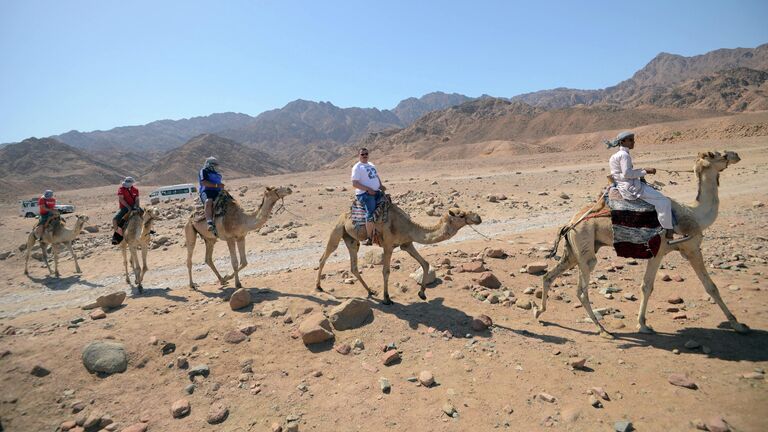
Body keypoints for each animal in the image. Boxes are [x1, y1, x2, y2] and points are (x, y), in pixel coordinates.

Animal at [316, 205, 484, 304]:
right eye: (461, 215)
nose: (478, 217)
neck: (408, 227)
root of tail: (343, 214)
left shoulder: (406, 244)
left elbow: (425, 264)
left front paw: (422, 293)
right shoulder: (388, 245)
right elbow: (386, 271)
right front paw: (387, 298)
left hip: (352, 239)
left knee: (354, 266)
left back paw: (370, 291)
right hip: (338, 229)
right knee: (324, 257)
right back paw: (318, 287)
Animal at [536, 151, 748, 338]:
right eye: (716, 154)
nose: (735, 155)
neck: (693, 215)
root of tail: (570, 223)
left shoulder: (686, 249)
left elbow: (702, 285)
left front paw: (642, 324)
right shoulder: (669, 250)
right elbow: (705, 287)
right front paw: (738, 325)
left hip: (574, 252)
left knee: (548, 276)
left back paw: (539, 312)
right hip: (585, 248)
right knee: (581, 290)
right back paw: (603, 330)